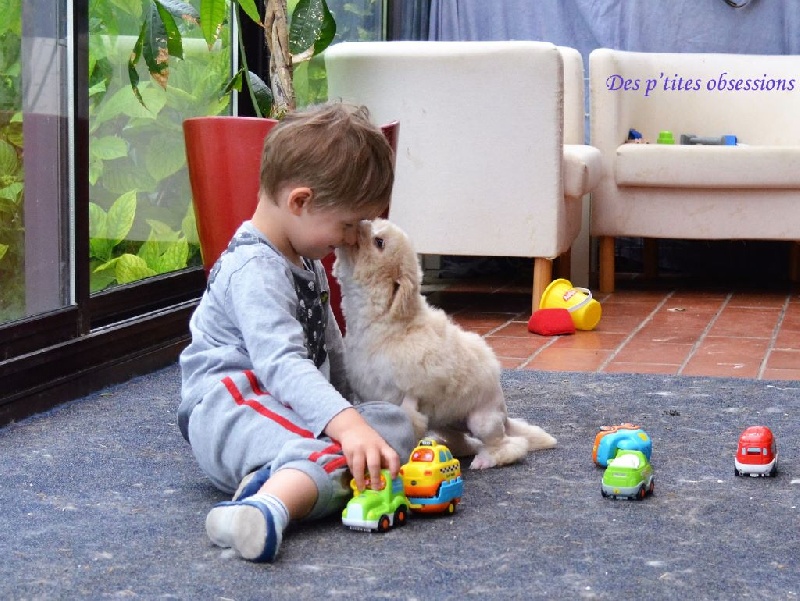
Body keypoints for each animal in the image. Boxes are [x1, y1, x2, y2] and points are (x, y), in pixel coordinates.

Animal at [333, 218, 556, 469]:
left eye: (379, 242)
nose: (360, 223)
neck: (385, 322)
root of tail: (504, 415)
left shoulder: (409, 402)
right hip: (445, 422)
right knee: (465, 442)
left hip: (482, 421)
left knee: (509, 445)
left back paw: (485, 460)